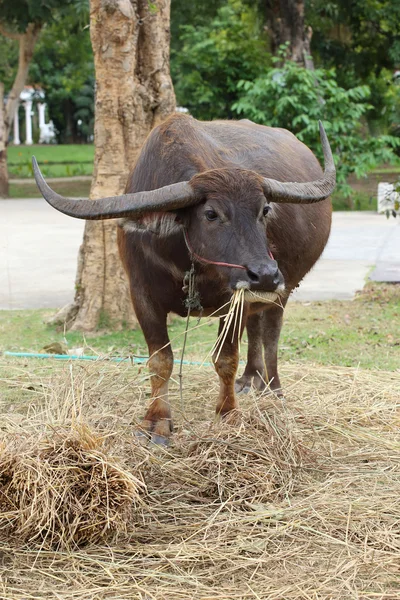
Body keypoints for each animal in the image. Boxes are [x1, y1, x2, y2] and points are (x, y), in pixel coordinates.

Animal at [33, 115, 334, 446]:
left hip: (284, 290)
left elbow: (225, 358)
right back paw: (250, 380)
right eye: (211, 213)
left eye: (264, 210)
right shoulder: (141, 295)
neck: (185, 260)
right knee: (257, 327)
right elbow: (160, 361)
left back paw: (273, 389)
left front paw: (228, 414)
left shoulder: (236, 299)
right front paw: (157, 421)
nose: (265, 274)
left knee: (270, 332)